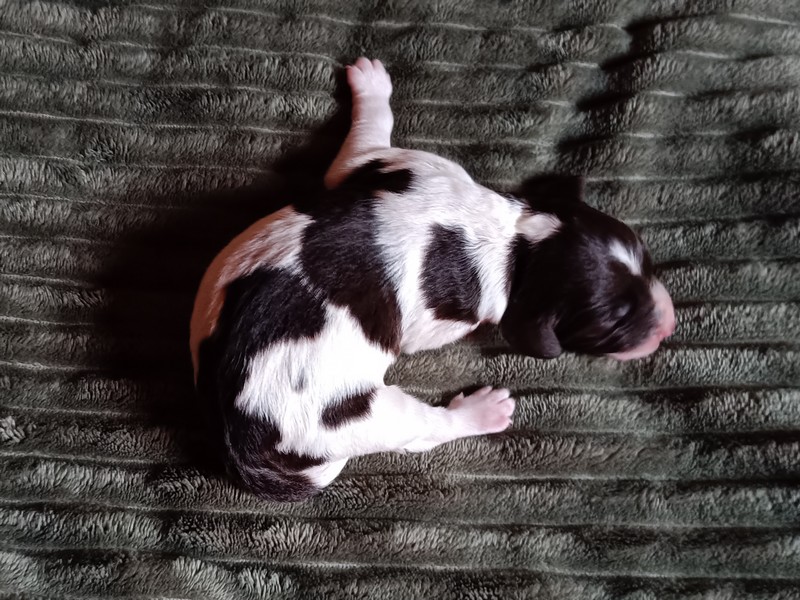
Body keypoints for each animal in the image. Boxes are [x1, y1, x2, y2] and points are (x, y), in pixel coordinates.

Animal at [190, 58, 676, 502]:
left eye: (647, 259)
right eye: (611, 325)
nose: (670, 325)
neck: (519, 243)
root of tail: (242, 443)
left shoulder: (395, 164)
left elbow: (361, 146)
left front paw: (370, 86)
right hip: (364, 415)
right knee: (424, 430)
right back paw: (482, 412)